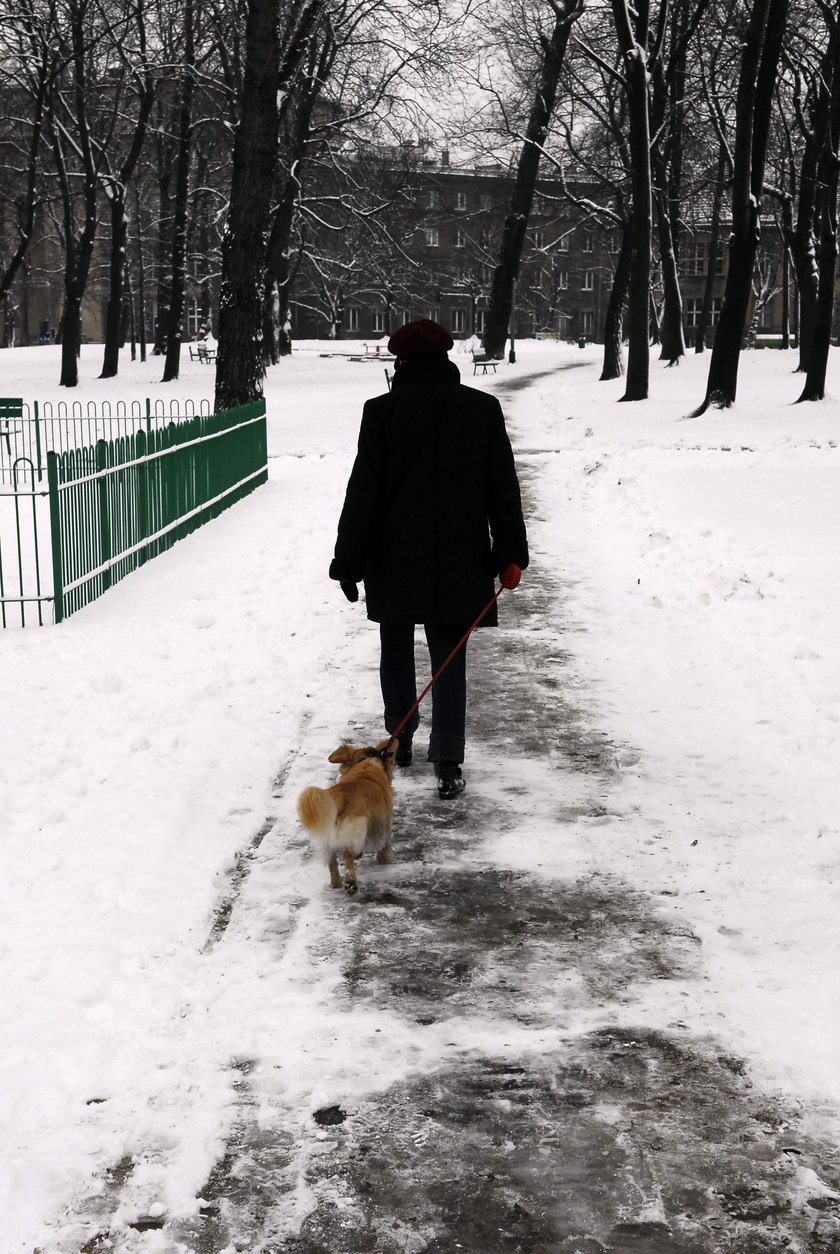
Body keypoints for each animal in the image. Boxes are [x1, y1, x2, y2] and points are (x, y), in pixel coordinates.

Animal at [298, 737, 398, 897]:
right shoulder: (384, 820)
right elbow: (385, 842)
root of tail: (339, 795)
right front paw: (385, 857)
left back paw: (336, 883)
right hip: (356, 829)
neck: (365, 762)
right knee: (347, 854)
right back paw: (351, 882)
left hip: (328, 837)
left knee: (332, 862)